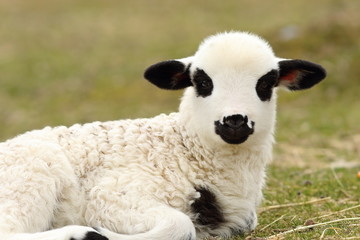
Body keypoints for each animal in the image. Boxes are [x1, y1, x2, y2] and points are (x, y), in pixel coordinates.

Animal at [0, 31, 326, 240]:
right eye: (202, 82)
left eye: (267, 83)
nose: (234, 121)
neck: (184, 149)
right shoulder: (111, 195)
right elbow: (180, 225)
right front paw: (101, 233)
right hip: (29, 177)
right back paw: (81, 234)